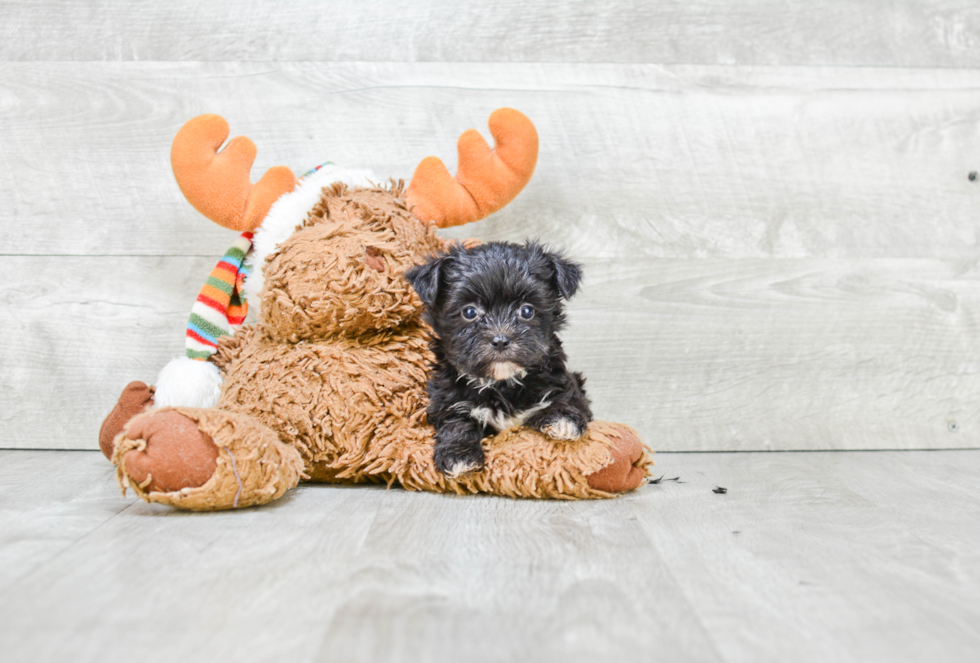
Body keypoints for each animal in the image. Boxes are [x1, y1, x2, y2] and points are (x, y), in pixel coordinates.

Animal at [404, 239, 592, 478]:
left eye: (527, 311)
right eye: (470, 312)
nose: (501, 340)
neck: (503, 383)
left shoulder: (563, 383)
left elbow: (565, 400)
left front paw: (563, 419)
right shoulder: (447, 400)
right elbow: (456, 422)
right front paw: (458, 454)